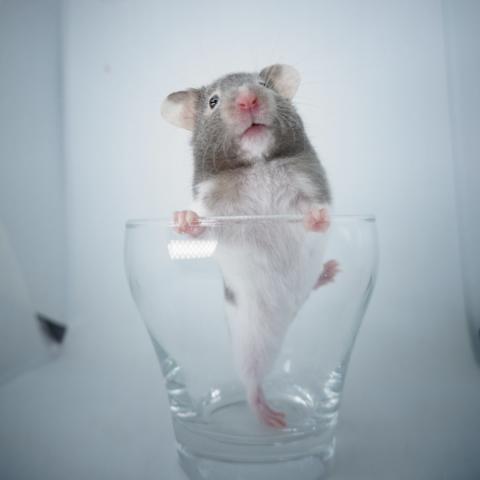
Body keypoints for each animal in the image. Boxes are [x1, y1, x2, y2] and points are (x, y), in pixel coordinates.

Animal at [162, 64, 339, 428]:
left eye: (262, 85)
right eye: (213, 101)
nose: (248, 99)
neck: (257, 166)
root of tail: (289, 315)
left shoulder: (310, 186)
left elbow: (315, 212)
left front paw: (317, 218)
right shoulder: (218, 215)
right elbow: (202, 231)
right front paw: (184, 218)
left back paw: (328, 272)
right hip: (249, 341)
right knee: (251, 383)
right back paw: (266, 414)